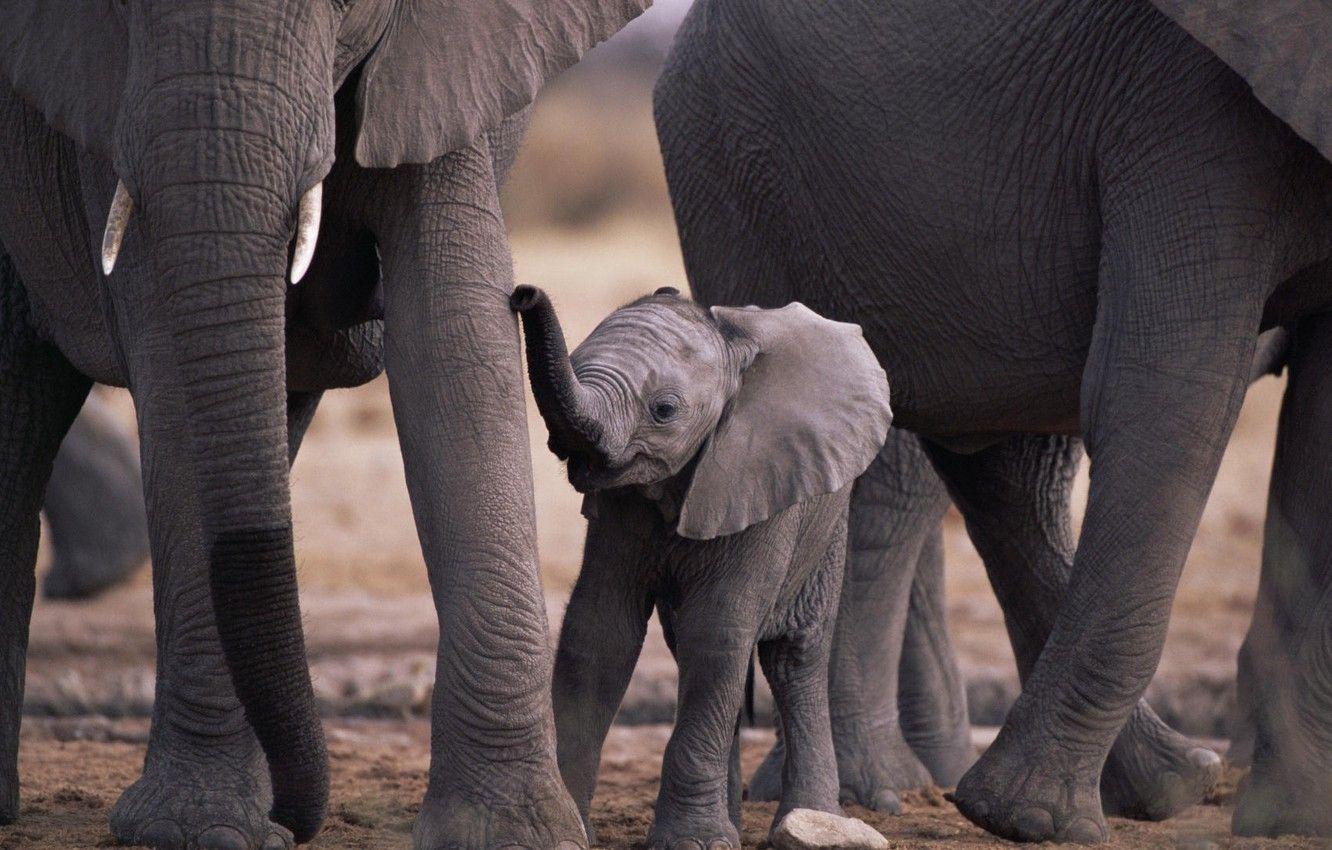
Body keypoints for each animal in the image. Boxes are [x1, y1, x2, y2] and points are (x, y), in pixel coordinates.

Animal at [509, 285, 893, 849]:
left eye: (664, 410)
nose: (523, 294)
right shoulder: (620, 508)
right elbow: (598, 634)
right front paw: (572, 830)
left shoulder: (758, 480)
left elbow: (717, 632)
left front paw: (693, 842)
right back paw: (732, 822)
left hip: (826, 522)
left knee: (793, 656)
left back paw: (811, 820)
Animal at [655, 0, 1332, 841]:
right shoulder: (1189, 114)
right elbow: (1168, 391)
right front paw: (1026, 821)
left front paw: (1293, 812)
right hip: (735, 166)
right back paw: (896, 799)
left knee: (997, 466)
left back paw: (1171, 784)